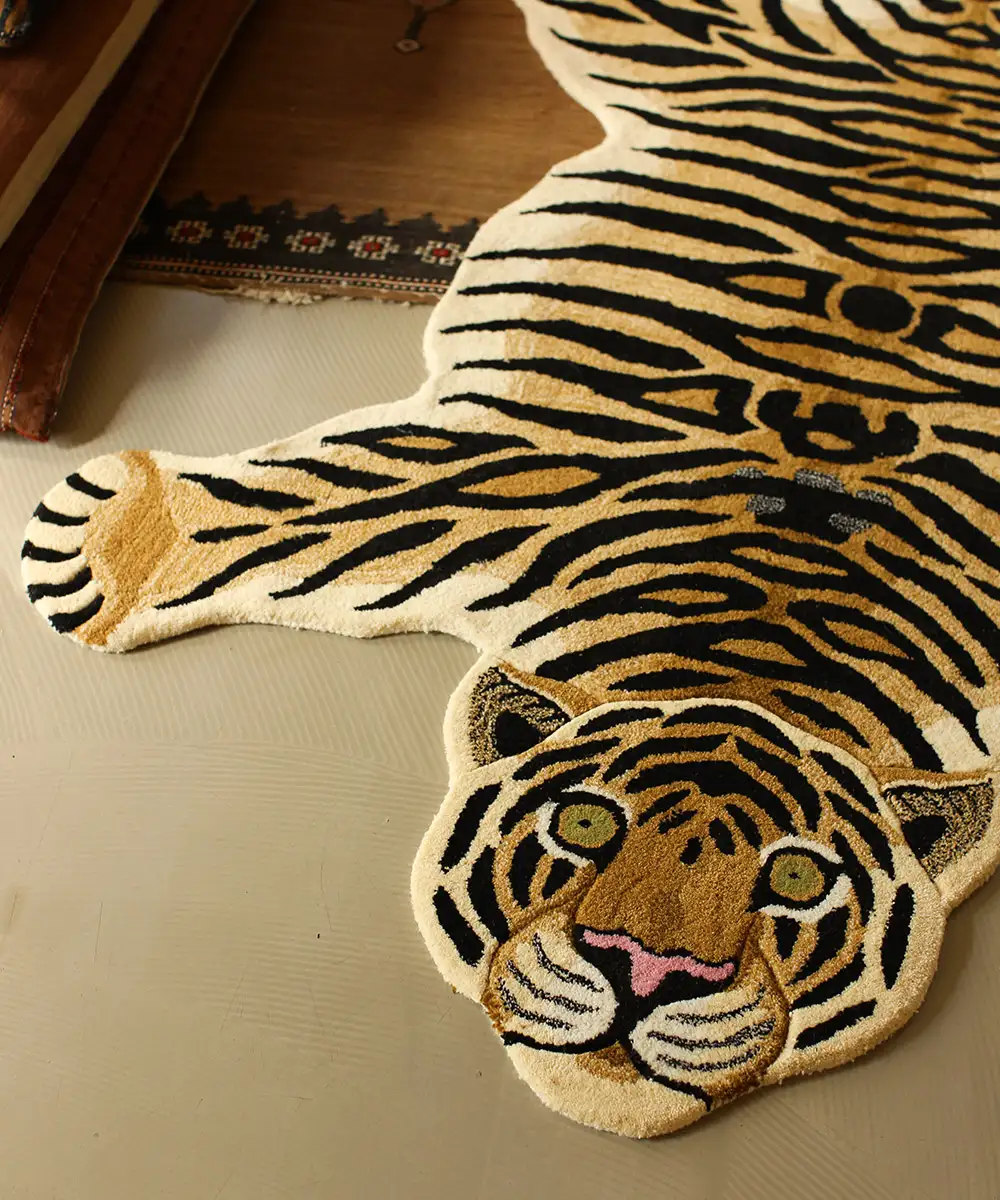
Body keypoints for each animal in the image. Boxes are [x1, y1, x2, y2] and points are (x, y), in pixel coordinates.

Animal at [18, 0, 1000, 1137]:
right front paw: (93, 545)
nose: (645, 970)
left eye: (797, 879)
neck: (758, 652)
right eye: (584, 824)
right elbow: (332, 491)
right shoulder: (531, 468)